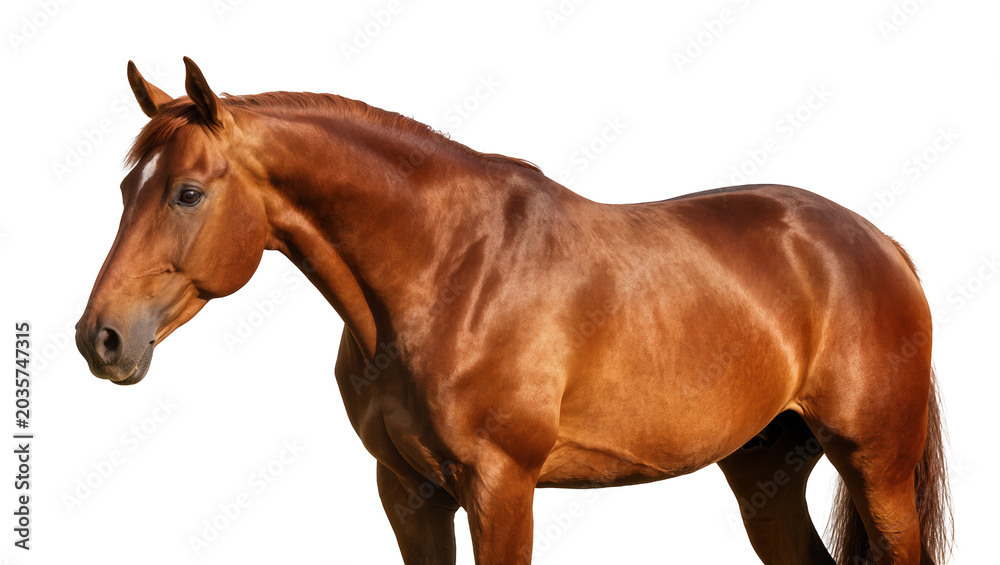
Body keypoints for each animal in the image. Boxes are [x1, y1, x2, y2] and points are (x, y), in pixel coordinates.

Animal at [75, 58, 951, 565]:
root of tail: (878, 243)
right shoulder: (408, 490)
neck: (446, 272)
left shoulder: (501, 487)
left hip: (875, 465)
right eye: (124, 187)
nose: (100, 338)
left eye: (188, 192)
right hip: (765, 467)